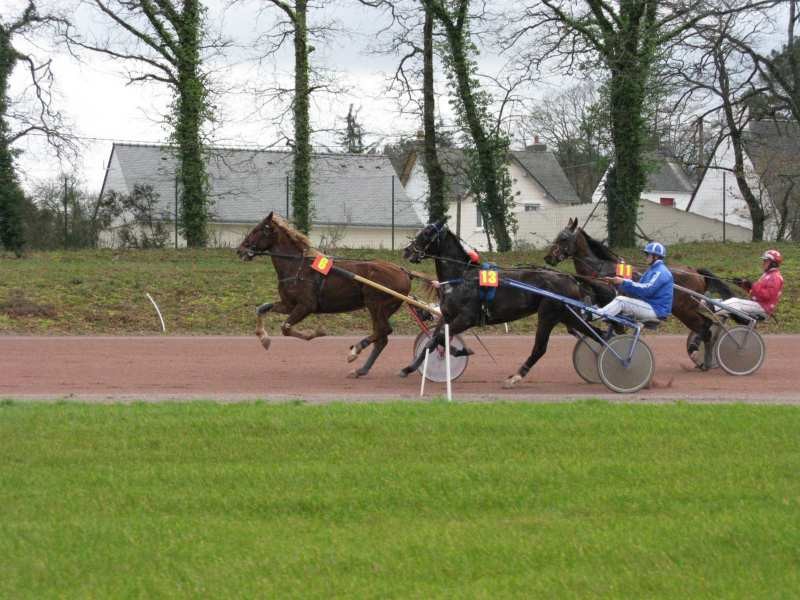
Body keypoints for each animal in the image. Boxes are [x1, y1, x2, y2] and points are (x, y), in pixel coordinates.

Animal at [236, 213, 412, 378]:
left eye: (257, 230)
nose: (240, 250)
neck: (296, 266)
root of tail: (404, 272)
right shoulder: (289, 304)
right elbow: (262, 309)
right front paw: (263, 338)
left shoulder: (306, 306)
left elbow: (286, 327)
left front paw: (315, 333)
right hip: (383, 308)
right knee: (382, 337)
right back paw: (361, 370)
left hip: (375, 304)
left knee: (384, 330)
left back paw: (355, 351)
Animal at [400, 223, 608, 386]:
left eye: (427, 233)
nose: (407, 251)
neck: (461, 277)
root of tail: (570, 278)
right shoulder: (447, 316)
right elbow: (434, 340)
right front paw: (410, 367)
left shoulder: (466, 319)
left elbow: (438, 338)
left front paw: (459, 351)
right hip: (568, 315)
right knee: (598, 333)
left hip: (548, 315)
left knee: (540, 348)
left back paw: (515, 377)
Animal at [544, 218, 732, 368]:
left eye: (563, 238)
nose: (548, 258)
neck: (599, 270)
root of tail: (696, 272)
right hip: (687, 310)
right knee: (707, 326)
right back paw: (704, 359)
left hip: (685, 310)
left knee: (706, 327)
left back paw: (700, 355)